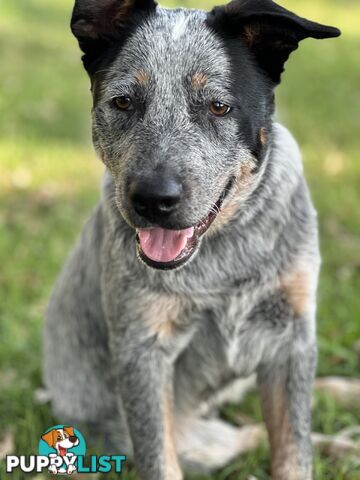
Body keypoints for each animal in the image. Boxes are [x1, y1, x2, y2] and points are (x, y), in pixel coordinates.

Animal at [42, 0, 340, 480]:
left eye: (218, 106)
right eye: (123, 101)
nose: (152, 199)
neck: (226, 249)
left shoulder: (292, 340)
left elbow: (294, 448)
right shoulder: (143, 351)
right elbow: (159, 458)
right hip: (203, 442)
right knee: (248, 435)